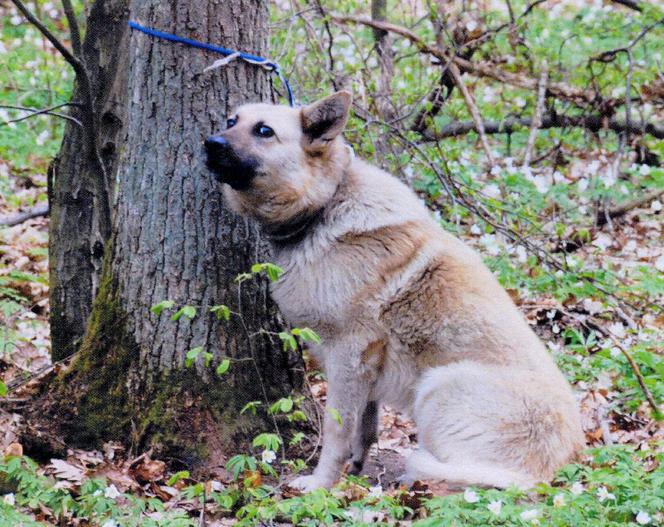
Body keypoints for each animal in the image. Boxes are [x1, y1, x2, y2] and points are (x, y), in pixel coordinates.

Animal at [205, 92, 584, 496]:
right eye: (232, 121)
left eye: (264, 131)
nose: (210, 143)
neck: (326, 203)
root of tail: (545, 475)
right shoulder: (366, 367)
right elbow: (365, 426)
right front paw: (356, 467)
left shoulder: (348, 356)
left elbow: (337, 431)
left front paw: (322, 482)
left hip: (436, 388)